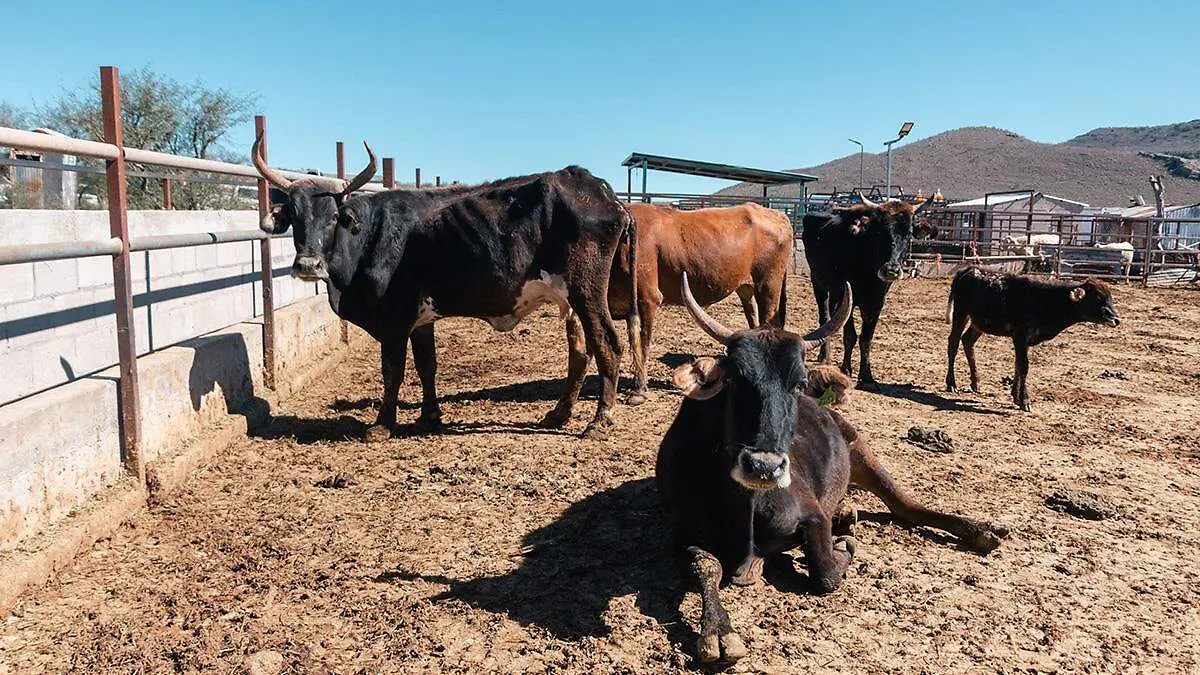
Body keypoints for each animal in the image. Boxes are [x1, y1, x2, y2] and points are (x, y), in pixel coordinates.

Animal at [252, 136, 637, 439]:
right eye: (295, 217)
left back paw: (600, 420)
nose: (307, 266)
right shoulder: (422, 320)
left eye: (333, 217)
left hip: (587, 293)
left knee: (607, 343)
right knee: (581, 351)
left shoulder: (394, 322)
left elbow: (392, 371)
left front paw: (382, 425)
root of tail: (604, 193)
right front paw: (430, 417)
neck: (370, 234)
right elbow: (427, 364)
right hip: (570, 299)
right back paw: (559, 413)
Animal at [606, 201, 793, 404]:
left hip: (769, 285)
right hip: (746, 288)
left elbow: (642, 343)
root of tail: (778, 214)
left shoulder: (648, 298)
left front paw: (639, 390)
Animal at [658, 272, 1007, 664]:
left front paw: (845, 548)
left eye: (797, 384)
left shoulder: (812, 515)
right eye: (734, 379)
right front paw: (718, 629)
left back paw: (979, 528)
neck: (745, 511)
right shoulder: (681, 532)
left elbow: (825, 570)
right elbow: (705, 565)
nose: (763, 466)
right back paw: (847, 514)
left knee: (908, 507)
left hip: (862, 453)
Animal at [801, 195, 933, 387]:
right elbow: (850, 335)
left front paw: (867, 376)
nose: (891, 270)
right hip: (818, 283)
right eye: (879, 232)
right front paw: (846, 369)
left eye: (908, 234)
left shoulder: (876, 303)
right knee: (825, 317)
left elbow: (866, 339)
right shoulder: (847, 297)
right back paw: (825, 356)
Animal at [945, 266, 1121, 411]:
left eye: (1110, 298)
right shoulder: (1020, 335)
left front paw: (1016, 397)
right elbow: (1023, 366)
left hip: (978, 323)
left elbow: (1018, 364)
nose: (1116, 319)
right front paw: (1024, 401)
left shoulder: (1024, 340)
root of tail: (967, 270)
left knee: (967, 341)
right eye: (1097, 298)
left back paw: (976, 382)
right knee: (953, 343)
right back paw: (951, 383)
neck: (1043, 300)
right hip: (961, 312)